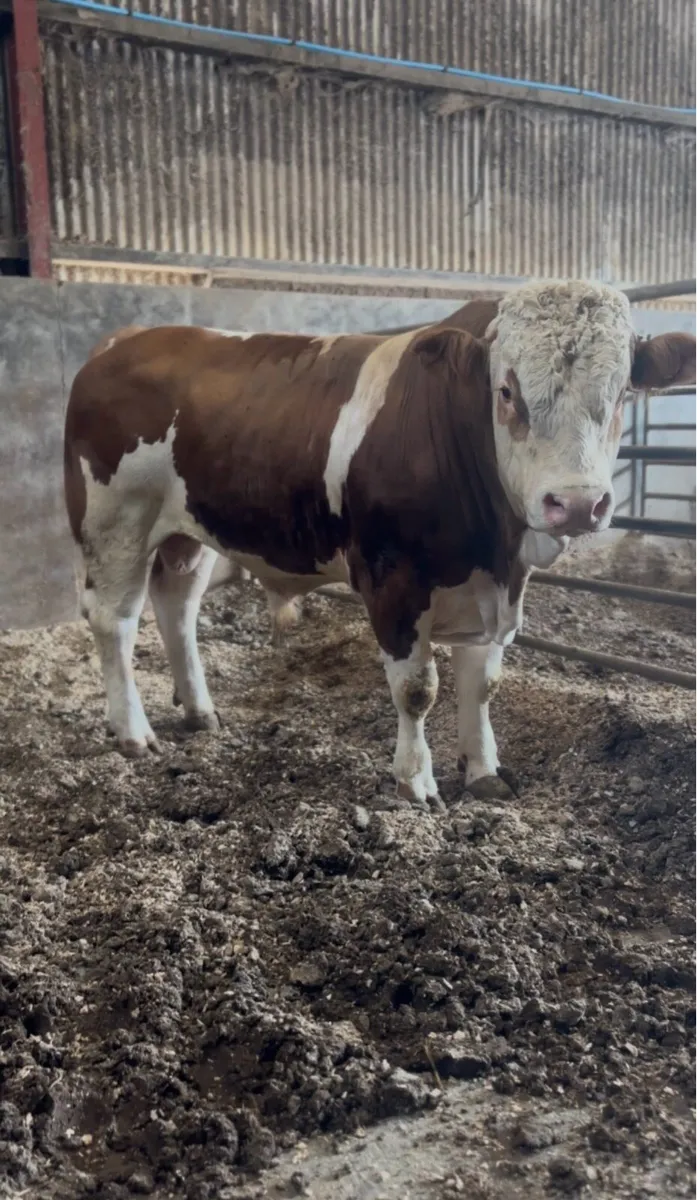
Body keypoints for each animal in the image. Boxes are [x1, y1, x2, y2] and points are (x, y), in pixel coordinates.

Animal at [64, 281, 695, 802]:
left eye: (622, 394)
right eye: (506, 391)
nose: (579, 503)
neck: (497, 547)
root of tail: (128, 339)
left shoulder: (490, 588)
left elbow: (482, 685)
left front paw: (484, 772)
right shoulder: (391, 578)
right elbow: (417, 689)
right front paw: (415, 783)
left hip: (186, 533)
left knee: (177, 608)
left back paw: (200, 712)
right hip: (115, 524)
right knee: (115, 621)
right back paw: (133, 733)